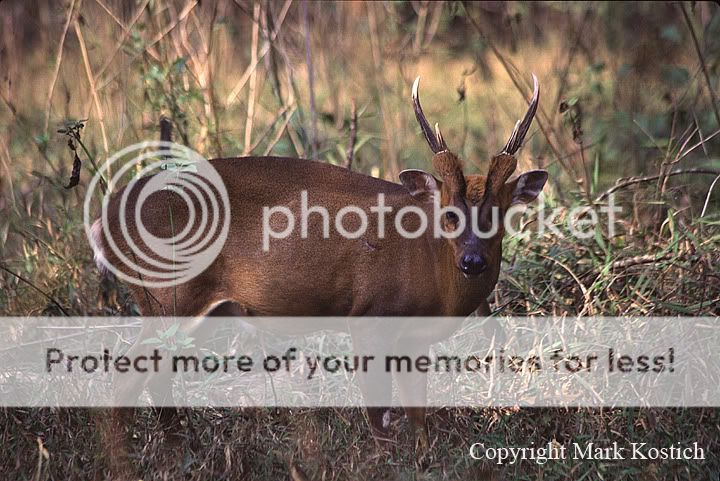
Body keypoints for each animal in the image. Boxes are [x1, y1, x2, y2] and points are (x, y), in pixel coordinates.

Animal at [90, 75, 544, 468]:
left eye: (498, 213)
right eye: (449, 213)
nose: (473, 261)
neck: (429, 268)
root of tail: (102, 220)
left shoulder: (413, 339)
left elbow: (418, 415)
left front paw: (424, 461)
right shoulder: (369, 315)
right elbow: (379, 415)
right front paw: (384, 465)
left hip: (200, 309)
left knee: (155, 377)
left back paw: (182, 454)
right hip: (169, 294)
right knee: (129, 375)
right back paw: (128, 464)